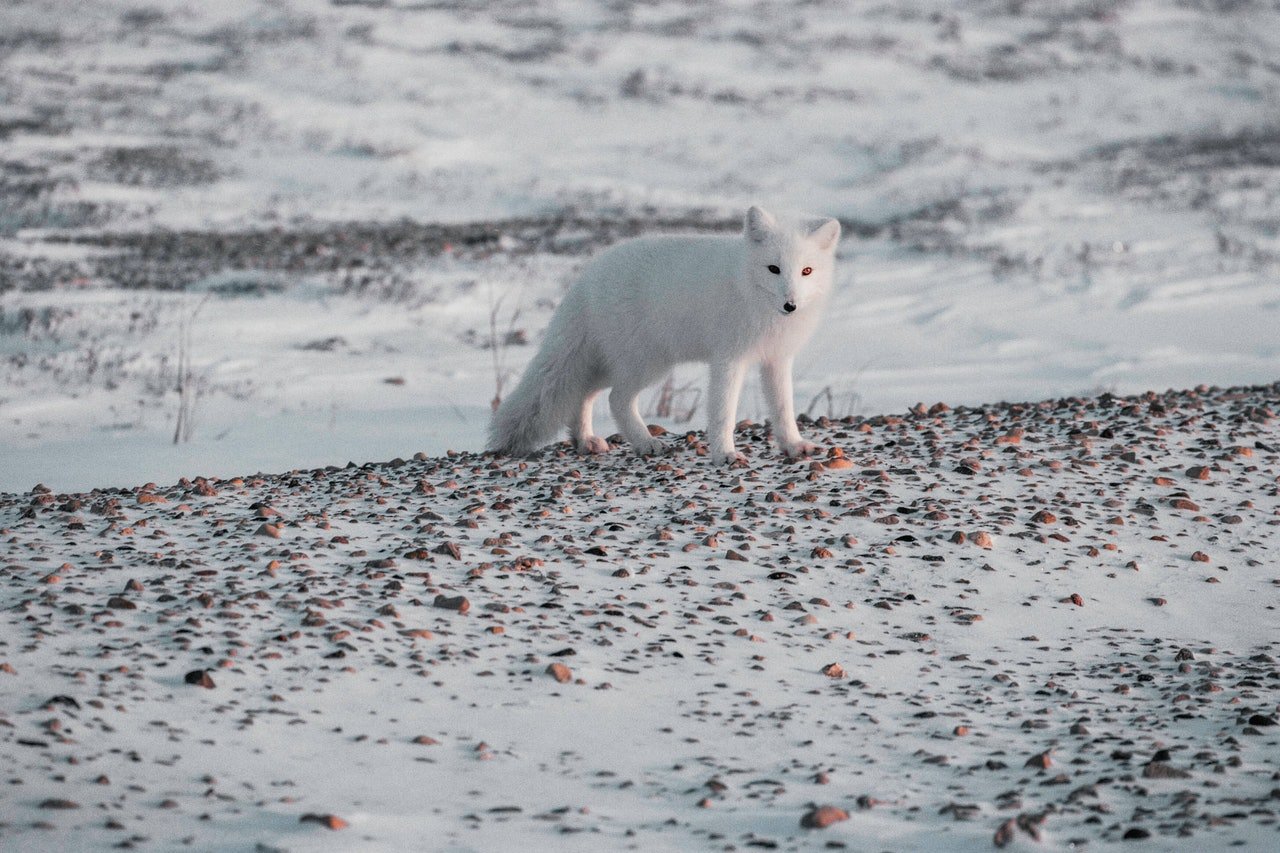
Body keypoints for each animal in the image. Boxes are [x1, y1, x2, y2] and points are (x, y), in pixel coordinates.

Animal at [486, 204, 839, 461]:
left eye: (807, 271)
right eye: (773, 269)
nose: (790, 305)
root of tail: (586, 279)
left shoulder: (776, 359)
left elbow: (783, 408)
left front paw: (794, 445)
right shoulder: (728, 359)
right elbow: (723, 411)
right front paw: (725, 454)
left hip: (610, 364)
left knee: (582, 394)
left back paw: (586, 441)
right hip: (648, 364)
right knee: (616, 399)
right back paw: (645, 444)